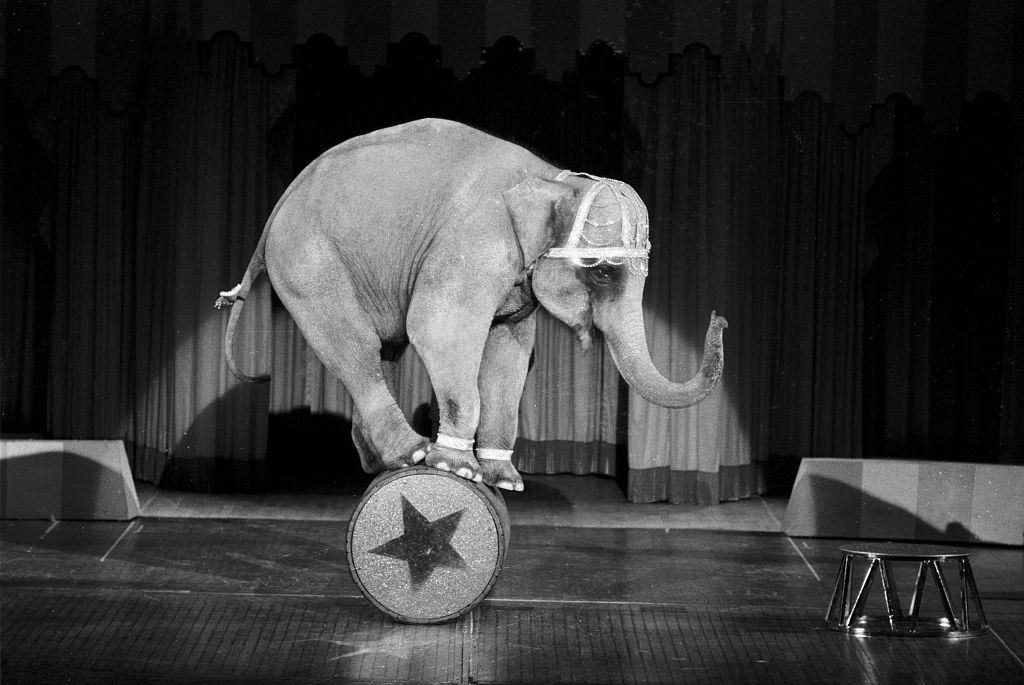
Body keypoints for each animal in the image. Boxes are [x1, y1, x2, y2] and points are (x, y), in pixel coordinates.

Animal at [218, 118, 729, 491]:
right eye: (603, 273)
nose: (719, 317)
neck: (552, 180)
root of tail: (276, 210)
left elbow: (510, 351)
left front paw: (503, 481)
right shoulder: (474, 244)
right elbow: (437, 327)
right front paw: (457, 469)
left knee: (381, 351)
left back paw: (379, 462)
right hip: (307, 261)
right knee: (354, 348)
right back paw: (411, 454)